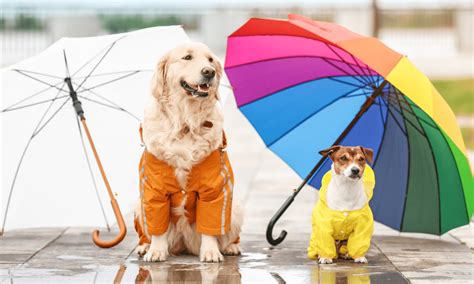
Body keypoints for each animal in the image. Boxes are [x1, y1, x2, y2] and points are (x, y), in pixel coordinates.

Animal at [135, 41, 243, 262]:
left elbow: (210, 225)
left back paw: (230, 247)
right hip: (137, 206)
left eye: (210, 60)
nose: (209, 72)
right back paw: (144, 246)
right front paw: (156, 251)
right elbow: (157, 226)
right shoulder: (152, 190)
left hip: (235, 207)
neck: (185, 122)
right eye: (187, 57)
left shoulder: (215, 189)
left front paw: (210, 252)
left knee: (228, 234)